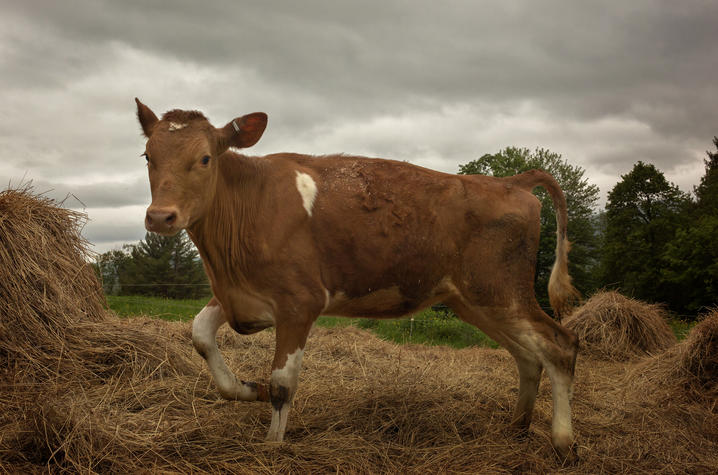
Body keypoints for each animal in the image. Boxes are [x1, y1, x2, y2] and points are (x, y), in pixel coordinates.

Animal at [136, 98, 584, 460]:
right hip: (473, 299)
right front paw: (248, 390)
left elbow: (282, 383)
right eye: (146, 155)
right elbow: (200, 334)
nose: (160, 217)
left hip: (501, 290)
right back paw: (517, 427)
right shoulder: (240, 296)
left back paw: (563, 442)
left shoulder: (300, 302)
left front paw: (273, 446)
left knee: (559, 345)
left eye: (205, 158)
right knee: (527, 355)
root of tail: (511, 182)